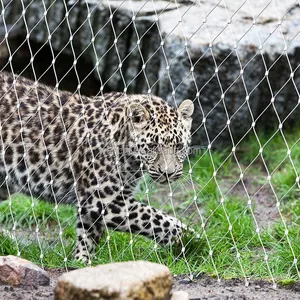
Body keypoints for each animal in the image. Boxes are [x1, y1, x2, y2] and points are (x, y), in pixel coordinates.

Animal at [0, 70, 195, 262]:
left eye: (179, 146)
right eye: (153, 146)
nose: (168, 173)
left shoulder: (94, 203)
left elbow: (88, 235)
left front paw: (81, 262)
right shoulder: (104, 200)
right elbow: (157, 219)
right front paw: (190, 240)